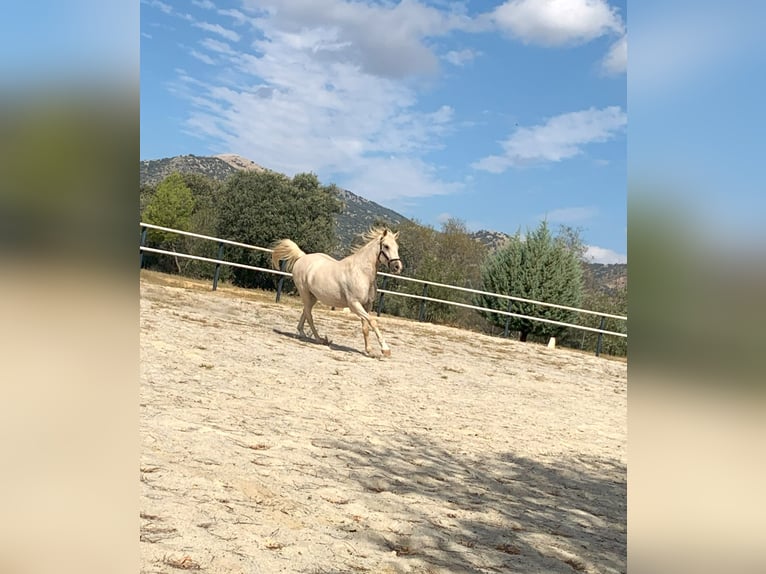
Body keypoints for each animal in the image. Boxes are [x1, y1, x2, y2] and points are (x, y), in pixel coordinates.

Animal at [272, 228, 404, 356]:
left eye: (397, 247)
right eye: (386, 246)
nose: (397, 267)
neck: (362, 273)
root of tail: (302, 257)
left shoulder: (367, 305)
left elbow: (365, 327)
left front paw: (369, 350)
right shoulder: (354, 305)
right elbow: (373, 322)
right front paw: (385, 349)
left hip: (313, 297)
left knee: (305, 311)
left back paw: (304, 334)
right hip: (304, 293)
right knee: (309, 315)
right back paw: (319, 339)